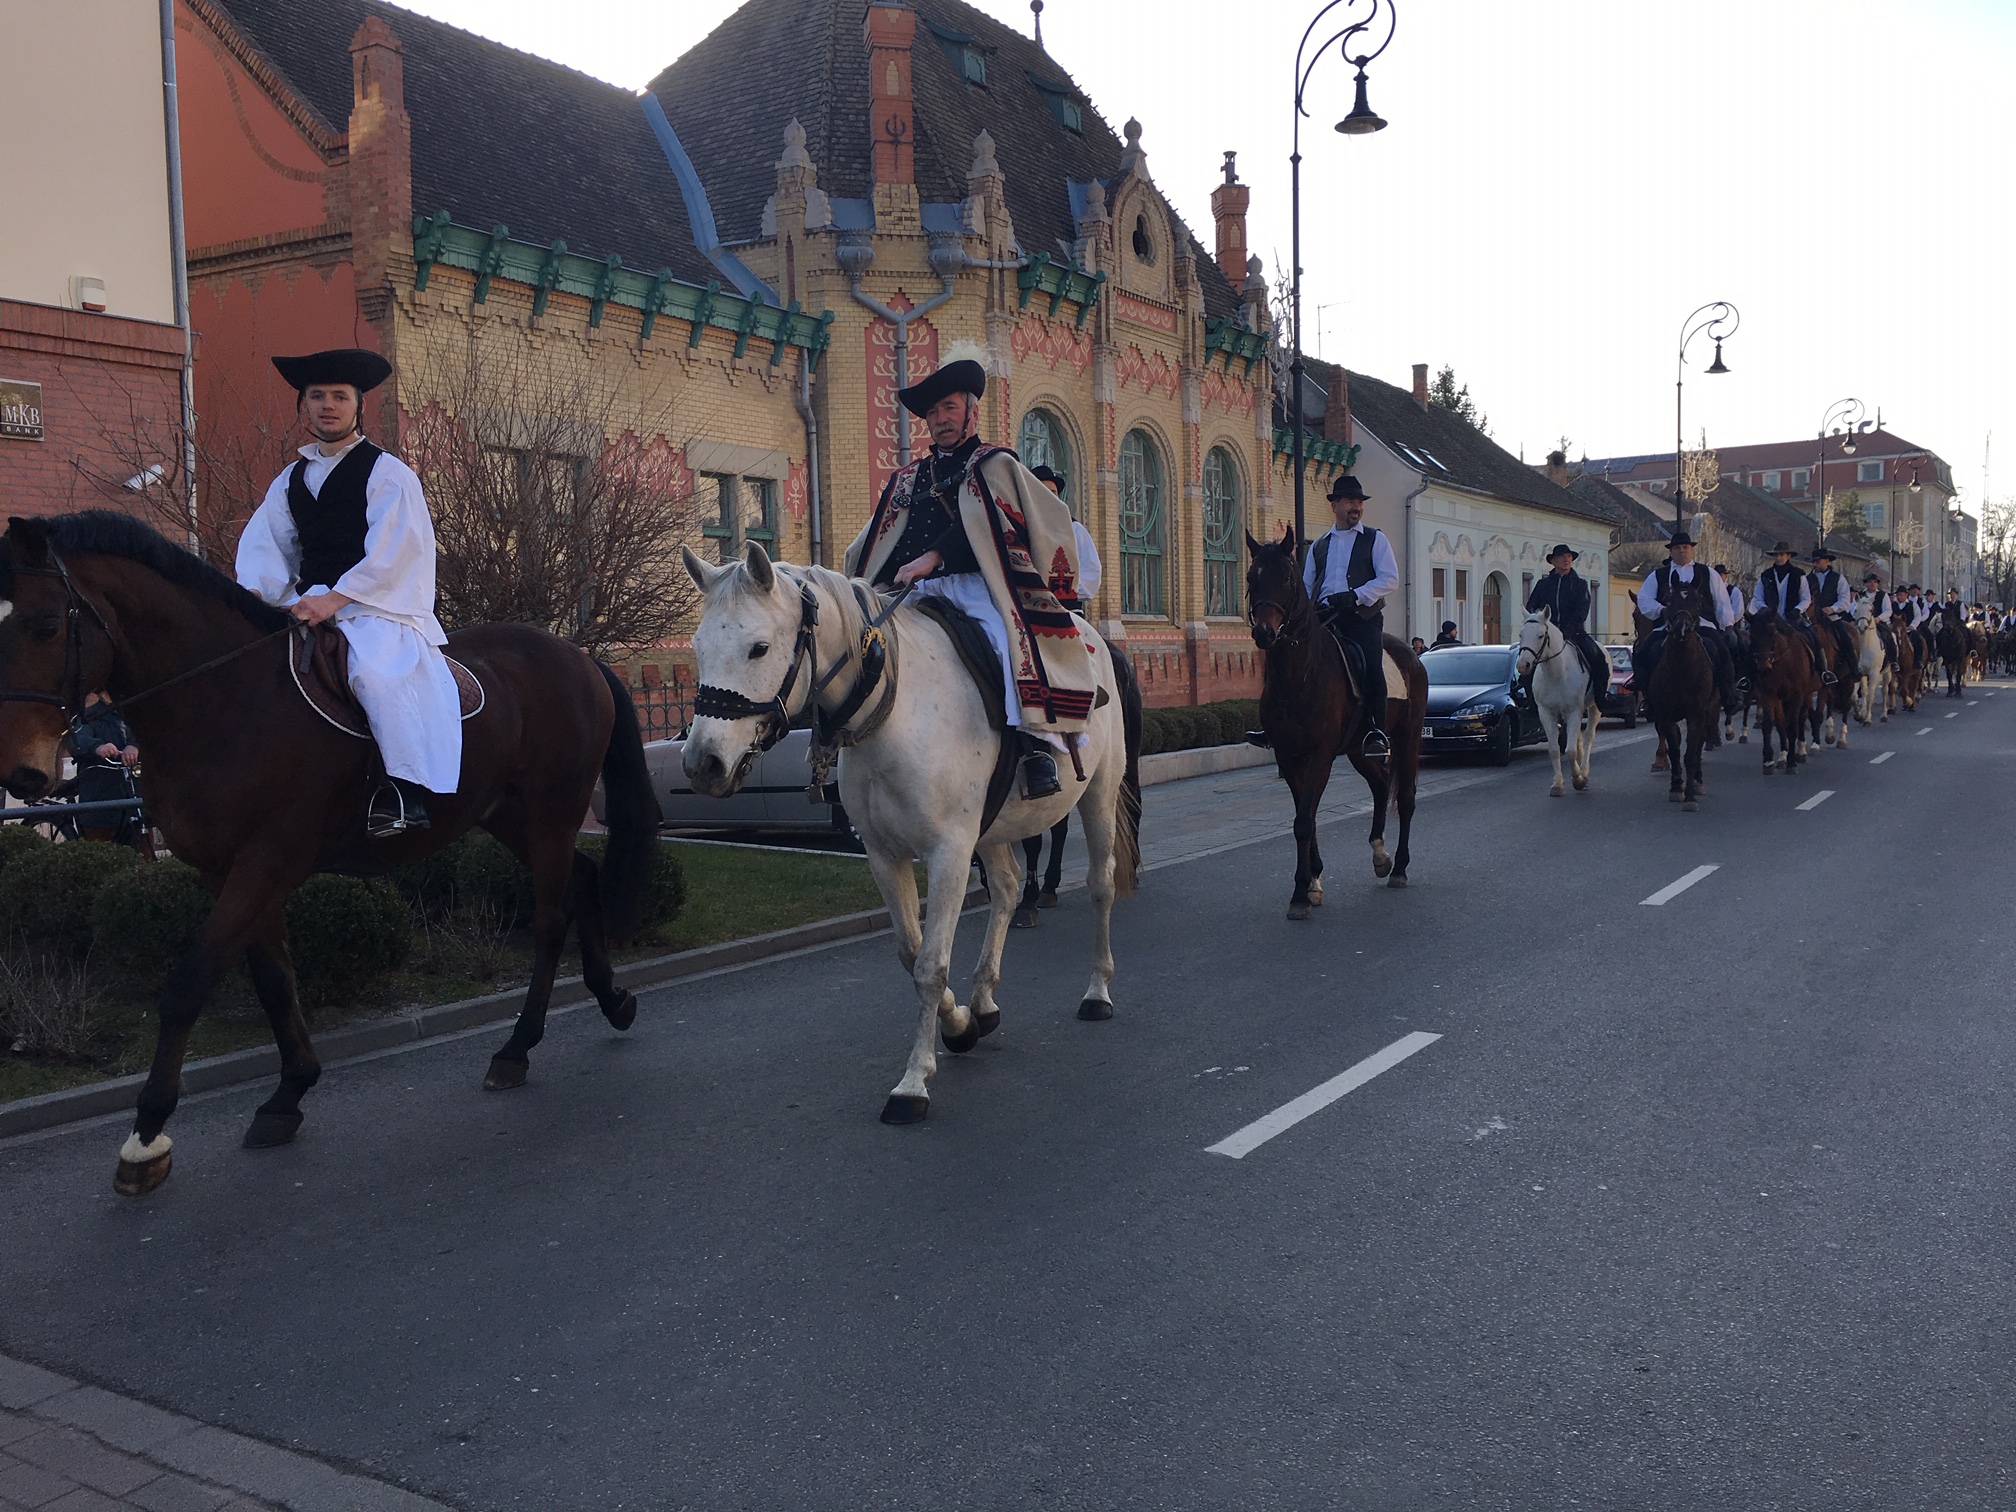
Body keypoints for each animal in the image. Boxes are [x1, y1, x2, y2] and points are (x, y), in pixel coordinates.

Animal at [0, 516, 661, 1201]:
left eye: (44, 625)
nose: (21, 773)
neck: (224, 699)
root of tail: (576, 655)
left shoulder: (265, 864)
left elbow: (189, 984)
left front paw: (147, 1135)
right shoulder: (229, 872)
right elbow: (273, 979)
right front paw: (289, 1093)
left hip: (551, 814)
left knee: (550, 922)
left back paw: (517, 1047)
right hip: (510, 817)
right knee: (582, 879)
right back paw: (611, 998)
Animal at [685, 544, 1145, 1128]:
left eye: (759, 647)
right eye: (698, 647)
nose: (703, 764)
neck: (893, 714)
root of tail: (1093, 637)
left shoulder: (947, 853)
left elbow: (930, 965)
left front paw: (913, 1082)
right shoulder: (885, 856)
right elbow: (911, 953)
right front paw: (960, 1023)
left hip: (1099, 794)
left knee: (1101, 886)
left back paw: (1097, 991)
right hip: (993, 827)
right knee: (1007, 886)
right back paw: (985, 1002)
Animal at [1241, 540, 1435, 931]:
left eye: (1287, 577)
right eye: (1252, 577)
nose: (1265, 633)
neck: (1299, 676)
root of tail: (1412, 655)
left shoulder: (1320, 756)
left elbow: (1304, 820)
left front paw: (1300, 894)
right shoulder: (1289, 758)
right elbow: (1306, 817)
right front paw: (1313, 881)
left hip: (1407, 740)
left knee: (1405, 798)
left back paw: (1400, 867)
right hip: (1359, 750)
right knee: (1380, 785)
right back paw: (1380, 855)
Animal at [1516, 612, 1604, 806]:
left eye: (1540, 635)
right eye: (1521, 634)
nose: (1522, 665)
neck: (1555, 673)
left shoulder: (1574, 712)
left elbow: (1570, 750)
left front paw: (1578, 779)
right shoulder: (1546, 713)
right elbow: (1555, 749)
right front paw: (1557, 784)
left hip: (1593, 708)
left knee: (1588, 738)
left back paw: (1584, 771)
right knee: (1578, 738)